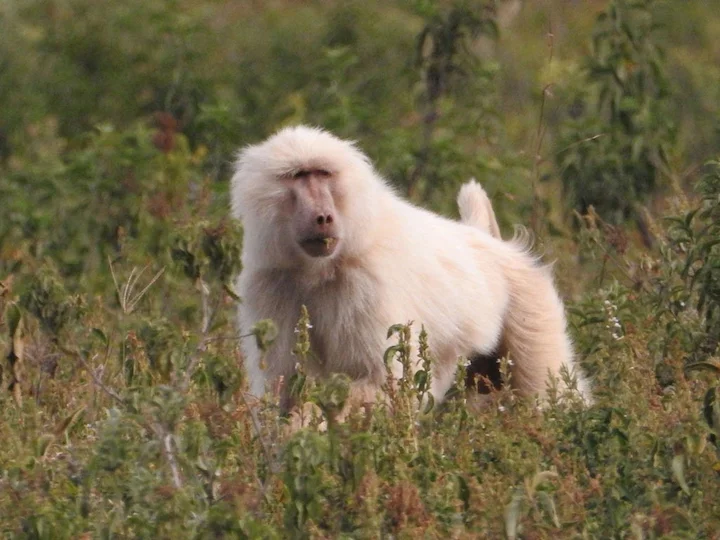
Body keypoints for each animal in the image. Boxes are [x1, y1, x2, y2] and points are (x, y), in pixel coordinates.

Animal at [230, 125, 590, 419]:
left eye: (323, 174)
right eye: (298, 176)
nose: (323, 217)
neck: (319, 269)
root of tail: (490, 244)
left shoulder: (368, 284)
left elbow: (387, 383)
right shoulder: (270, 284)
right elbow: (286, 391)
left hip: (529, 305)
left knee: (546, 393)